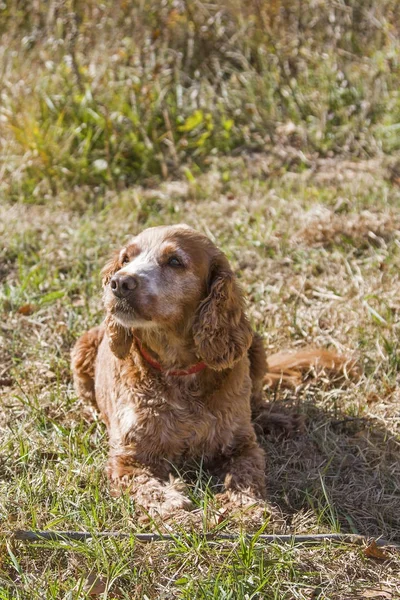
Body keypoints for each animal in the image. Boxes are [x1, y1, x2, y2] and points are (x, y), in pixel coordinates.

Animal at [71, 225, 350, 516]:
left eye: (174, 261)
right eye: (125, 259)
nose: (119, 283)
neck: (179, 370)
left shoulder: (242, 446)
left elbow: (246, 476)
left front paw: (250, 508)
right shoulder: (129, 458)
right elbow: (148, 488)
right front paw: (176, 508)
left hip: (254, 345)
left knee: (256, 400)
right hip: (82, 350)